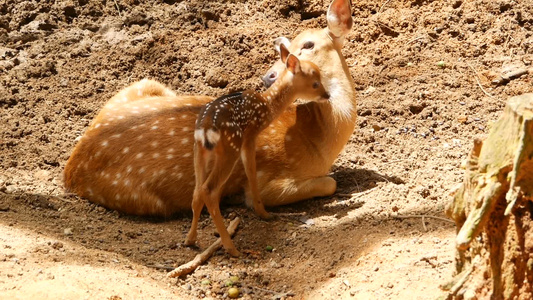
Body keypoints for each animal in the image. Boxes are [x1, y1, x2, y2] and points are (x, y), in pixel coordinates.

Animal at [64, 0, 356, 217]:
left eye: (309, 44)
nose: (269, 76)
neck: (318, 143)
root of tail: (70, 172)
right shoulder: (271, 184)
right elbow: (330, 183)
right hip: (143, 198)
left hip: (143, 85)